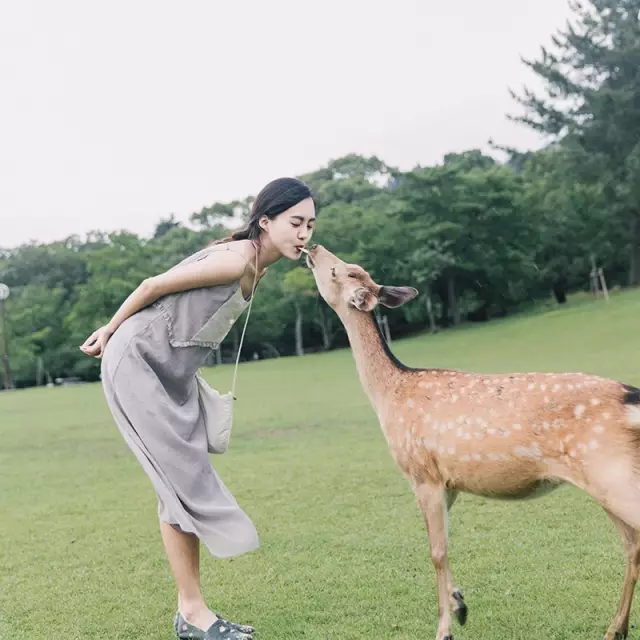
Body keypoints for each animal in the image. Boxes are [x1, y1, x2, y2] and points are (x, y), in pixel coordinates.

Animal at [302, 244, 640, 640]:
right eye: (351, 267)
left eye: (338, 271)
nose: (313, 247)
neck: (388, 395)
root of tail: (630, 398)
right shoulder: (449, 483)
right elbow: (445, 546)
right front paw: (460, 604)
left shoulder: (423, 474)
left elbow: (436, 551)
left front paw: (445, 627)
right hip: (607, 479)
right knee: (632, 545)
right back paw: (615, 628)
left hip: (609, 469)